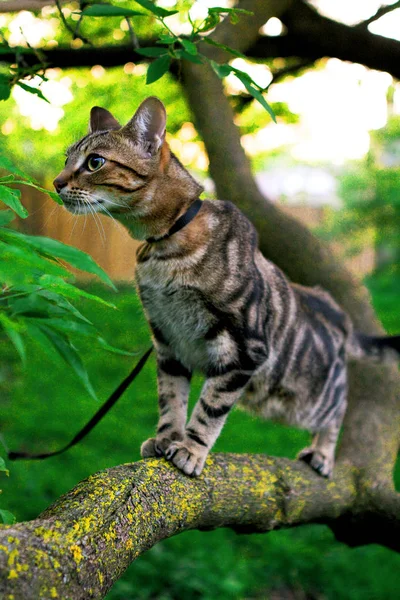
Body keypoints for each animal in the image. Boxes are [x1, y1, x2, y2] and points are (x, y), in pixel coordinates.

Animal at [54, 97, 400, 478]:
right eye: (66, 159)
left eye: (94, 162)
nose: (55, 182)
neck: (165, 247)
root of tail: (337, 309)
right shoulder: (168, 342)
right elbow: (171, 398)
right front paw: (166, 437)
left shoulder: (245, 350)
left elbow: (210, 408)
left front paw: (191, 449)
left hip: (308, 399)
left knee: (338, 409)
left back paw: (323, 452)